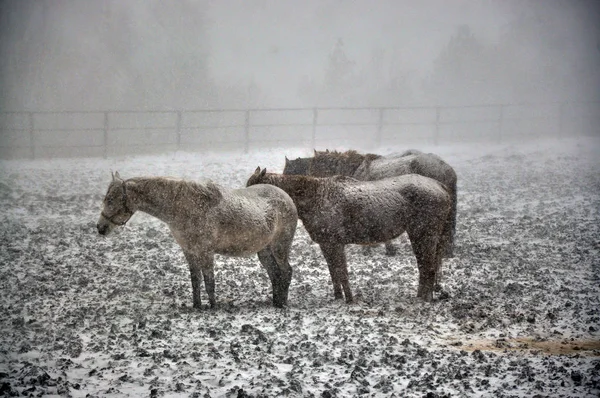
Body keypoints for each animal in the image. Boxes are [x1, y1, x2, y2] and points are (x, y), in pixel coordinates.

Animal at [95, 170, 298, 308]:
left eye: (111, 199)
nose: (101, 228)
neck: (184, 206)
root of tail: (287, 198)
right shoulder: (190, 251)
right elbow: (196, 280)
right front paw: (197, 306)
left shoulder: (206, 251)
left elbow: (209, 282)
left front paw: (213, 307)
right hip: (264, 251)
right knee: (275, 274)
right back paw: (275, 302)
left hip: (280, 248)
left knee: (286, 271)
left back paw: (282, 304)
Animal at [245, 167, 450, 302]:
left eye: (255, 188)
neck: (317, 196)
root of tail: (441, 186)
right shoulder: (327, 244)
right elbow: (334, 272)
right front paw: (338, 297)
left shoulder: (335, 244)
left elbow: (341, 272)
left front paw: (349, 299)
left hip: (422, 236)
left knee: (428, 268)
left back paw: (423, 299)